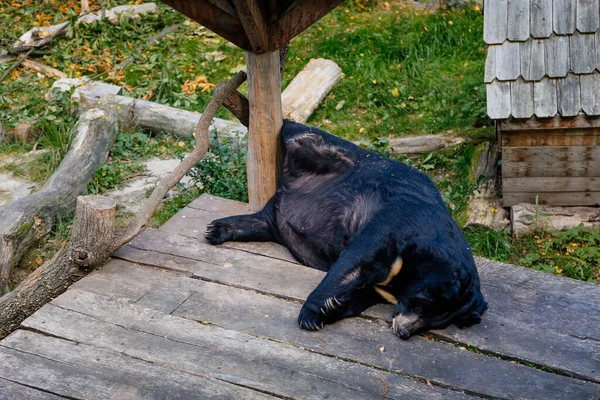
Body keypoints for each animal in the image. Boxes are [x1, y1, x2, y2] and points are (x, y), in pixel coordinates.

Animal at [206, 120, 488, 340]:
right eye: (423, 303)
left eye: (436, 322)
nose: (403, 331)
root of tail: (284, 193)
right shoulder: (398, 222)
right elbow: (353, 260)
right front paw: (309, 316)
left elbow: (361, 292)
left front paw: (329, 311)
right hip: (328, 149)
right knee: (297, 132)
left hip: (275, 220)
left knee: (261, 222)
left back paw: (216, 229)